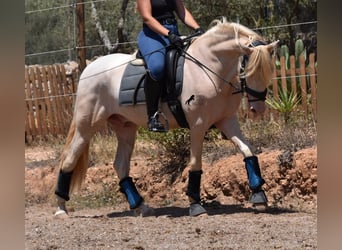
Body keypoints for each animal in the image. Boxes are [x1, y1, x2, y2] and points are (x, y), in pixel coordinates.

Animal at [53, 19, 278, 217]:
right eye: (247, 70)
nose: (258, 109)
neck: (209, 67)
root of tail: (89, 69)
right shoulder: (198, 125)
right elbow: (195, 163)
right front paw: (195, 205)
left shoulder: (227, 120)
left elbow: (248, 151)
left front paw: (259, 196)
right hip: (87, 126)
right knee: (70, 159)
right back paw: (61, 208)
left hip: (125, 128)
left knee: (120, 165)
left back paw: (141, 208)